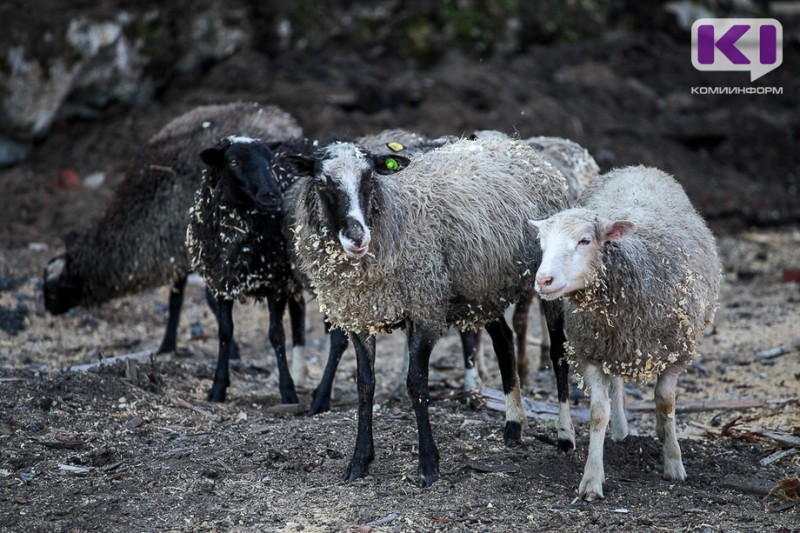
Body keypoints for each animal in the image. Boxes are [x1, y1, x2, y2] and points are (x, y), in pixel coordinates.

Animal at [43, 101, 302, 358]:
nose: (48, 309)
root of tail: (281, 117)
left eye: (53, 291)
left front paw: (233, 352)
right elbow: (175, 300)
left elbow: (208, 301)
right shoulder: (177, 255)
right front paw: (167, 345)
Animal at [532, 165, 720, 498]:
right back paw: (620, 430)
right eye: (542, 242)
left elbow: (666, 402)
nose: (544, 280)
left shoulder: (678, 352)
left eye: (584, 240)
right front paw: (592, 480)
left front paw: (674, 464)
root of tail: (636, 168)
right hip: (611, 344)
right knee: (616, 384)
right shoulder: (589, 351)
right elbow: (598, 412)